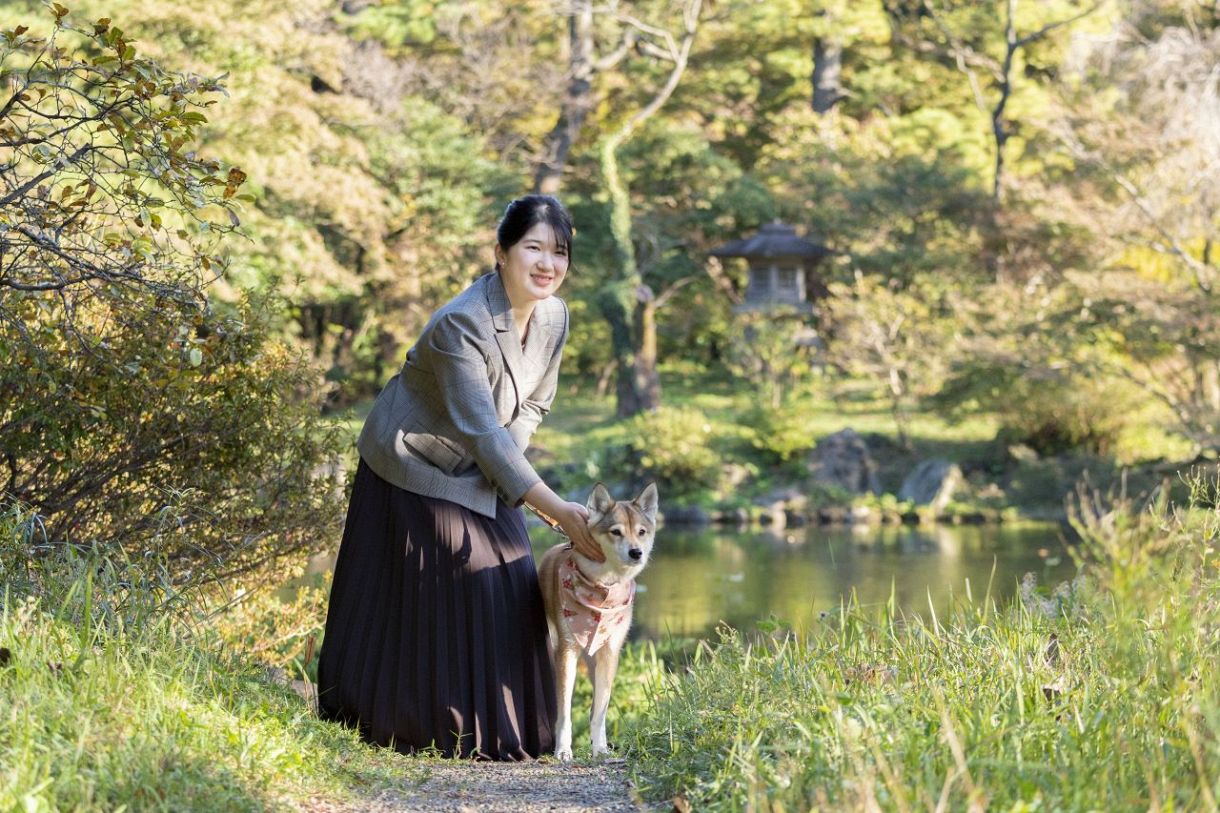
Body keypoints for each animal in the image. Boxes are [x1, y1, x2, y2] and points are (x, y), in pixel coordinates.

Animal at [539, 480, 658, 761]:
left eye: (642, 532)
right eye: (616, 532)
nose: (636, 552)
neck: (603, 588)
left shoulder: (610, 652)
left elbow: (600, 711)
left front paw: (600, 749)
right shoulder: (566, 652)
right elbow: (565, 711)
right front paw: (563, 750)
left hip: (595, 659)